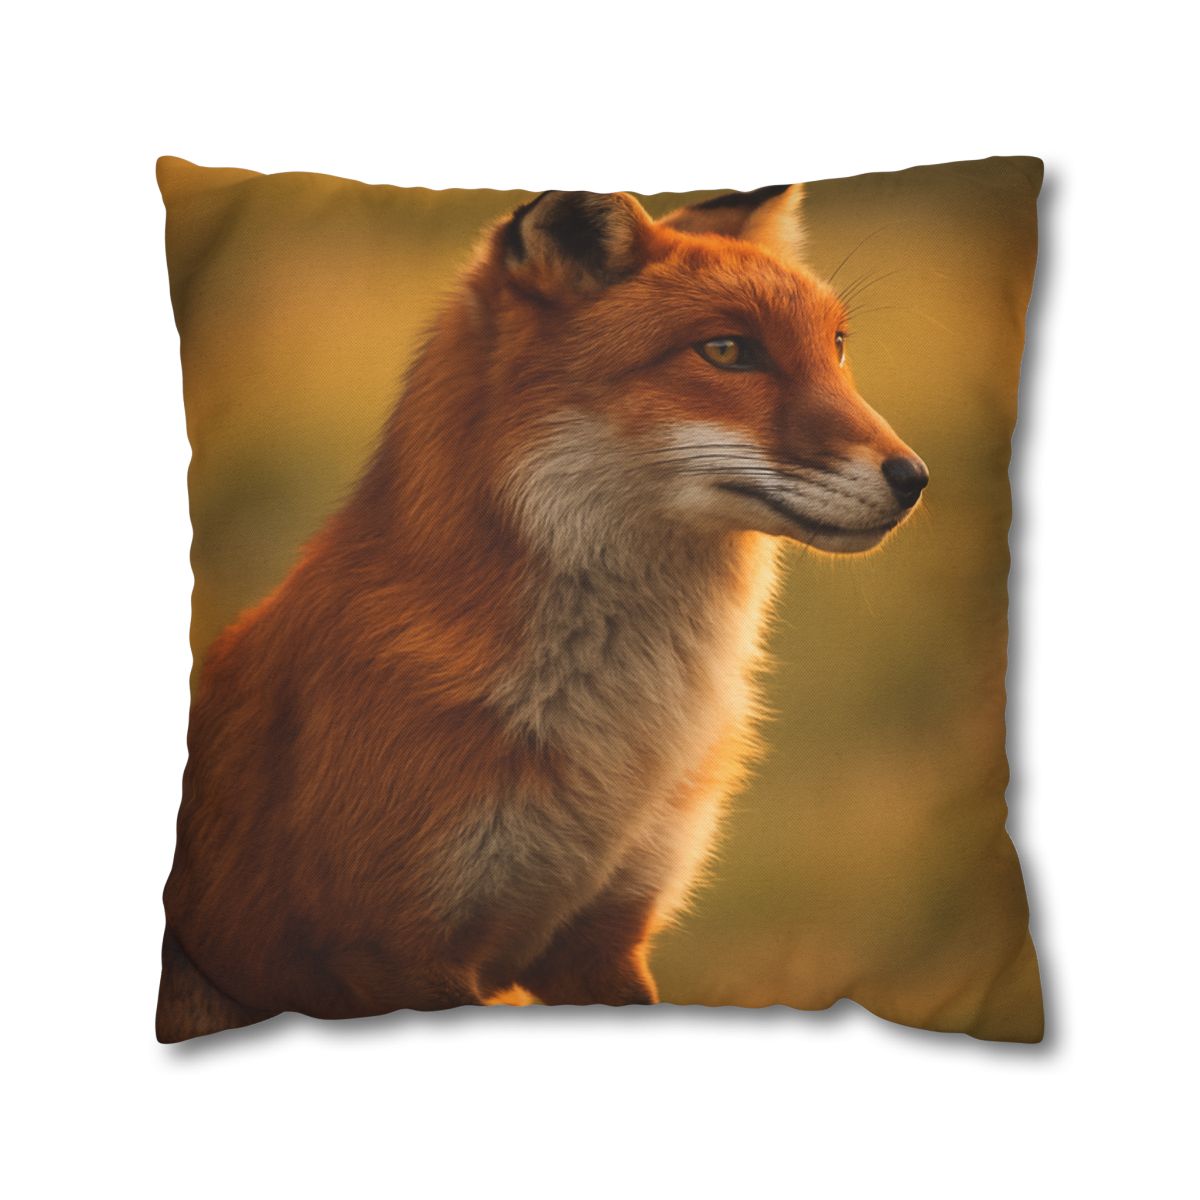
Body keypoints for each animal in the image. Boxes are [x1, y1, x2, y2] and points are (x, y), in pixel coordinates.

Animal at [157, 183, 928, 1042]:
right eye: (728, 351)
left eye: (837, 347)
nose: (914, 477)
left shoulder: (604, 941)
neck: (624, 740)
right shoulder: (394, 950)